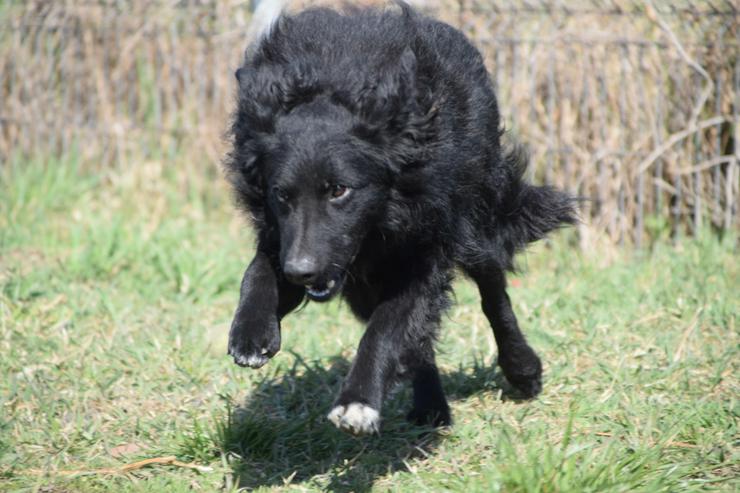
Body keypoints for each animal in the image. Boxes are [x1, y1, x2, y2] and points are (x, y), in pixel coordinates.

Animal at [223, 4, 576, 434]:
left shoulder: (423, 250)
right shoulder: (288, 239)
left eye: (339, 190)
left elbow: (387, 329)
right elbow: (257, 271)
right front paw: (251, 333)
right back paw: (431, 405)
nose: (300, 272)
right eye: (281, 194)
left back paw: (522, 369)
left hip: (477, 226)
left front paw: (357, 402)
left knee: (494, 297)